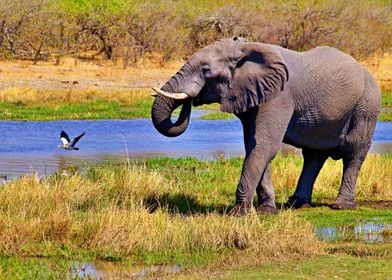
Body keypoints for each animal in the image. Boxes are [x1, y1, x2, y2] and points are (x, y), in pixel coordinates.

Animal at [150, 36, 380, 213]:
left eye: (206, 70)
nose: (190, 100)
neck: (246, 49)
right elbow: (255, 145)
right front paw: (266, 210)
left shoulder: (279, 97)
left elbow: (263, 146)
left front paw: (239, 213)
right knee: (313, 156)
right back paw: (297, 204)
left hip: (366, 107)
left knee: (353, 153)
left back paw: (342, 206)